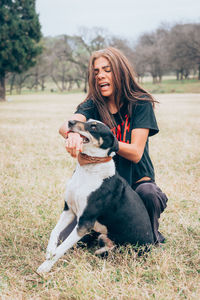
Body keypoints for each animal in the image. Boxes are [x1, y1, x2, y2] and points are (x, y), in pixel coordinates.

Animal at [37, 120, 153, 274]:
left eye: (93, 127)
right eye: (87, 121)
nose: (70, 121)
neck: (89, 168)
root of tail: (151, 247)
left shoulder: (85, 223)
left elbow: (61, 248)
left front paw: (45, 267)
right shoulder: (69, 211)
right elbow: (54, 232)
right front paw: (49, 251)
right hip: (104, 236)